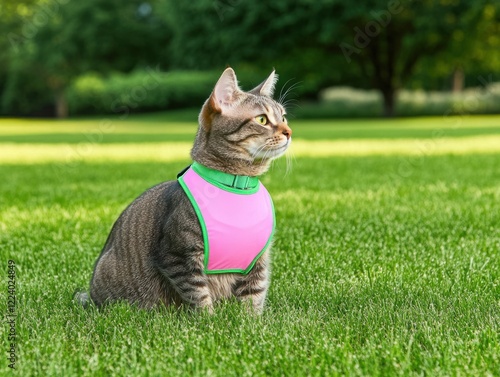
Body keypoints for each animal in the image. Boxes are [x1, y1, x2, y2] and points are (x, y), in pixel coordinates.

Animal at [76, 66, 292, 312]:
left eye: (283, 117)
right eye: (262, 119)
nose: (289, 131)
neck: (237, 183)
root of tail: (91, 296)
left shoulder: (258, 260)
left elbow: (253, 296)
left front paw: (250, 319)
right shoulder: (178, 255)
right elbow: (198, 294)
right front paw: (209, 319)